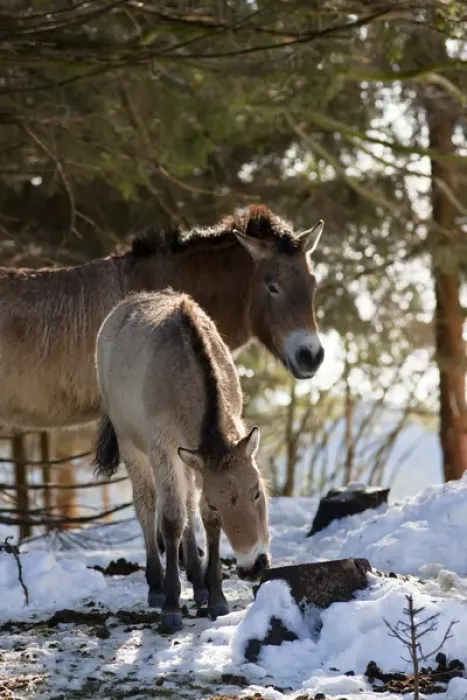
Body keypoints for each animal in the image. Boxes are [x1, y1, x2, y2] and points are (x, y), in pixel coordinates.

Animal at [94, 290, 271, 632]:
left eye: (256, 492)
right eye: (219, 502)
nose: (252, 566)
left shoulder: (199, 455)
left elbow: (202, 518)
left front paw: (215, 596)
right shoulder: (163, 449)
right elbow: (172, 520)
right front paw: (172, 606)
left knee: (188, 502)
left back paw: (198, 583)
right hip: (132, 446)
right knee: (147, 505)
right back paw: (155, 585)